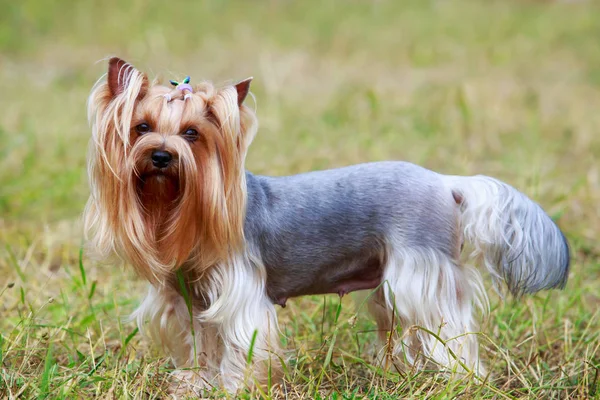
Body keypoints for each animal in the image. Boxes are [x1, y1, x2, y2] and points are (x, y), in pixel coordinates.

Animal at [82, 57, 568, 396]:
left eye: (191, 134)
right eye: (141, 127)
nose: (161, 155)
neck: (180, 209)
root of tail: (446, 183)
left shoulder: (240, 298)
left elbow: (241, 346)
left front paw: (236, 388)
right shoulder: (190, 302)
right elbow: (203, 347)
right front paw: (199, 385)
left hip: (420, 276)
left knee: (450, 334)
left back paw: (458, 380)